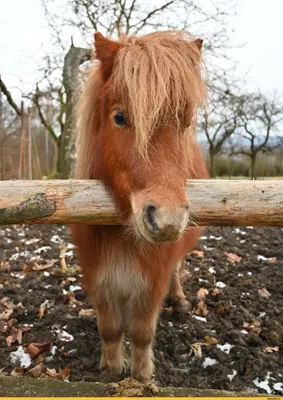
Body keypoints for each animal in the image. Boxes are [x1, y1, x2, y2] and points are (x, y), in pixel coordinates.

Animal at [71, 30, 209, 384]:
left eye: (186, 122)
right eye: (119, 118)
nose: (167, 219)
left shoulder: (151, 281)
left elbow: (142, 331)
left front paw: (143, 375)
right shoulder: (99, 277)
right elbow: (110, 328)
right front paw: (110, 369)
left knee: (178, 270)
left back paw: (180, 301)